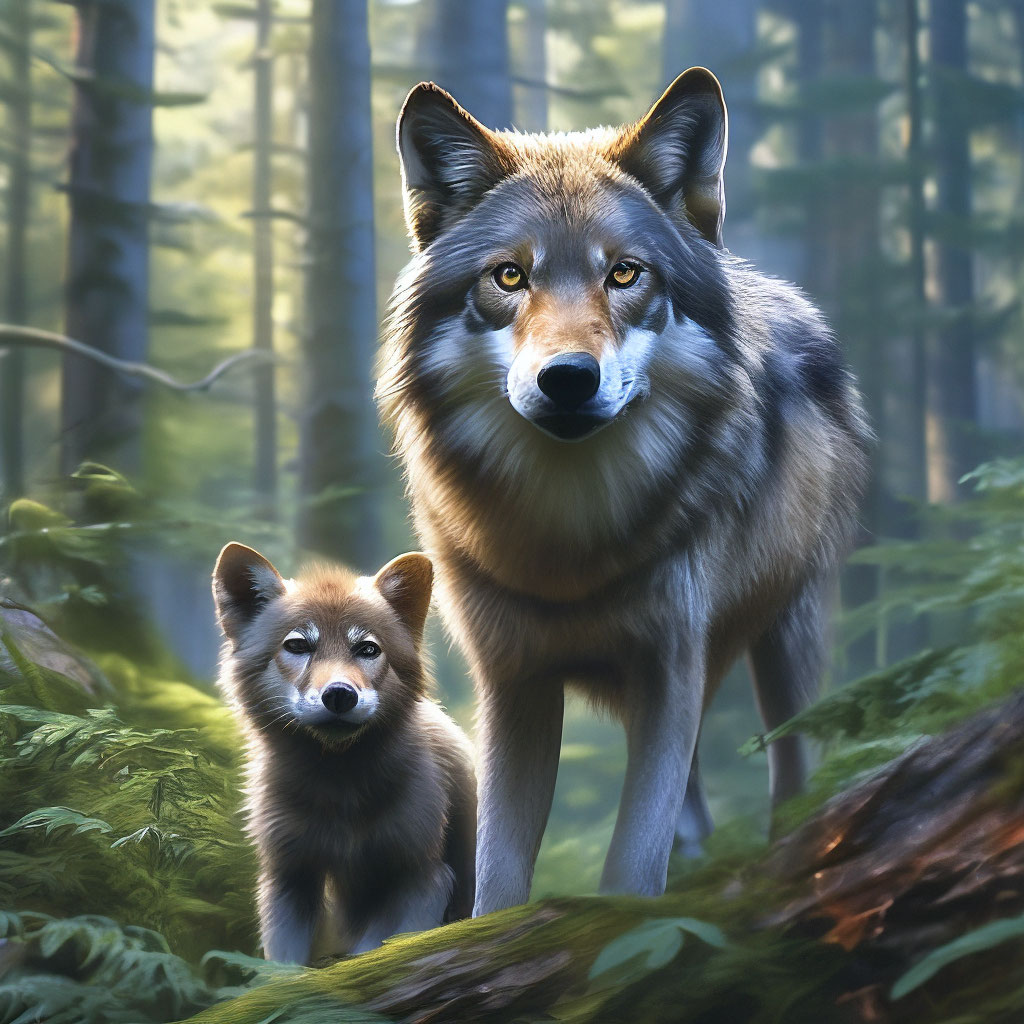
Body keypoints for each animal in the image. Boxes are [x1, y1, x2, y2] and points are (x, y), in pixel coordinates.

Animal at [212, 544, 476, 962]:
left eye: (367, 649)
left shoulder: (422, 877)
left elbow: (374, 952)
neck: (341, 792)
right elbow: (286, 966)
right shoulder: (290, 878)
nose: (339, 694)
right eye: (298, 645)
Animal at [377, 67, 870, 916]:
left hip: (788, 636)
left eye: (625, 273)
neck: (569, 536)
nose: (569, 378)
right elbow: (498, 873)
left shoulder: (669, 660)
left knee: (792, 769)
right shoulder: (513, 681)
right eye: (510, 276)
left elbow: (633, 864)